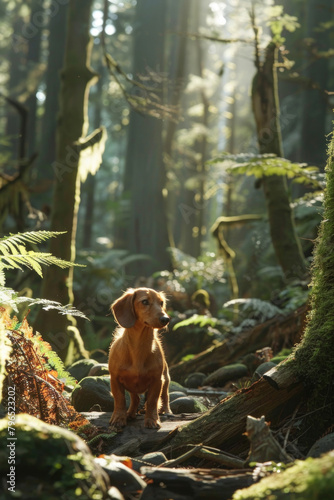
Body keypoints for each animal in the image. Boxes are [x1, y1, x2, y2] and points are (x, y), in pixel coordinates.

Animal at [109, 288, 172, 428]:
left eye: (161, 303)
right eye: (144, 301)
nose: (166, 319)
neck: (139, 348)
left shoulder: (157, 380)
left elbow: (153, 401)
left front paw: (152, 420)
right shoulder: (115, 379)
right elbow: (119, 399)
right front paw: (119, 418)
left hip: (166, 378)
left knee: (165, 396)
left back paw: (166, 411)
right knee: (136, 399)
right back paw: (130, 413)